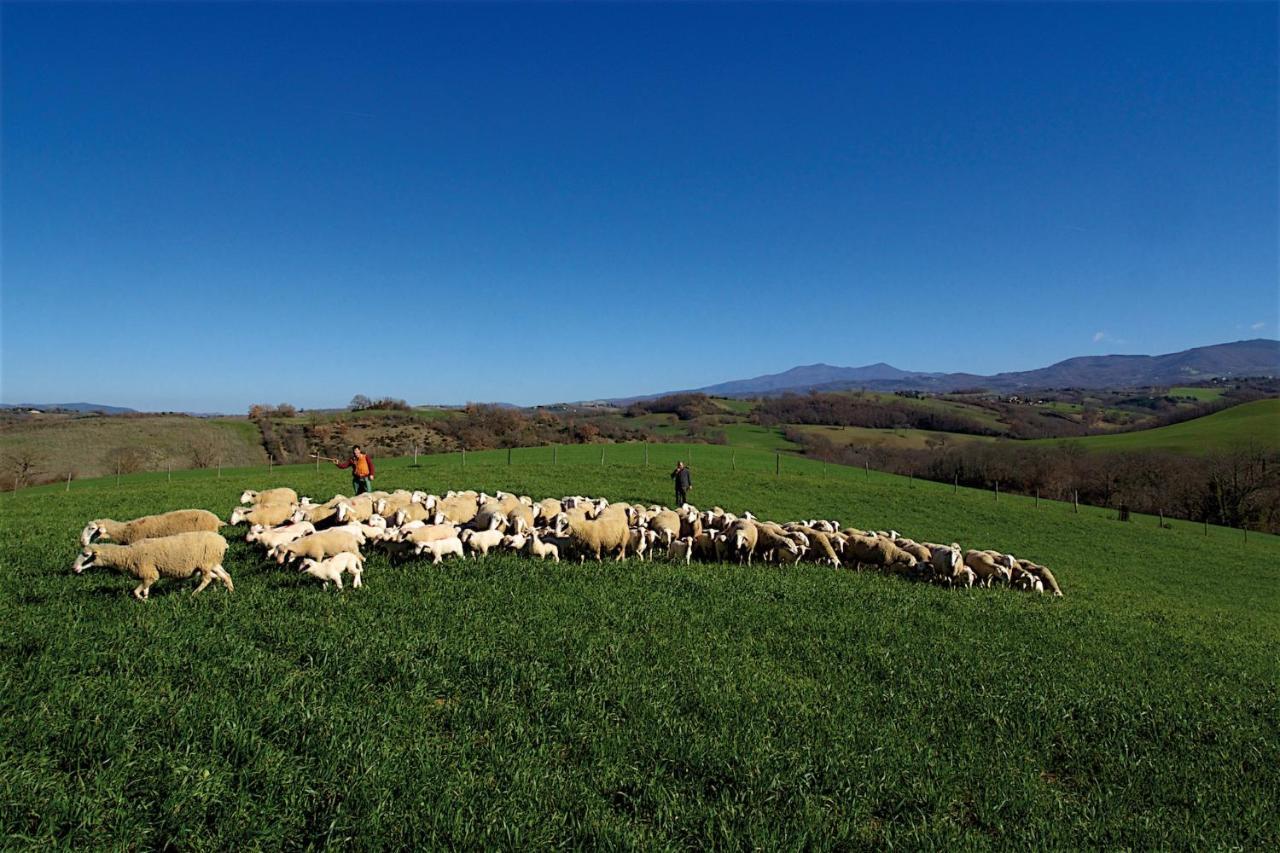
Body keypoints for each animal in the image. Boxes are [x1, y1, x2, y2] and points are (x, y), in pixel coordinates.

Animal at [72, 532, 232, 596]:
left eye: (86, 555)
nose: (74, 568)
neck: (128, 554)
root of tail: (223, 542)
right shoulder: (147, 575)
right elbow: (145, 590)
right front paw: (146, 600)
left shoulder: (150, 573)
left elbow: (136, 592)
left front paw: (143, 600)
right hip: (213, 562)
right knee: (225, 575)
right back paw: (230, 591)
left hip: (206, 563)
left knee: (207, 578)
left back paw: (194, 594)